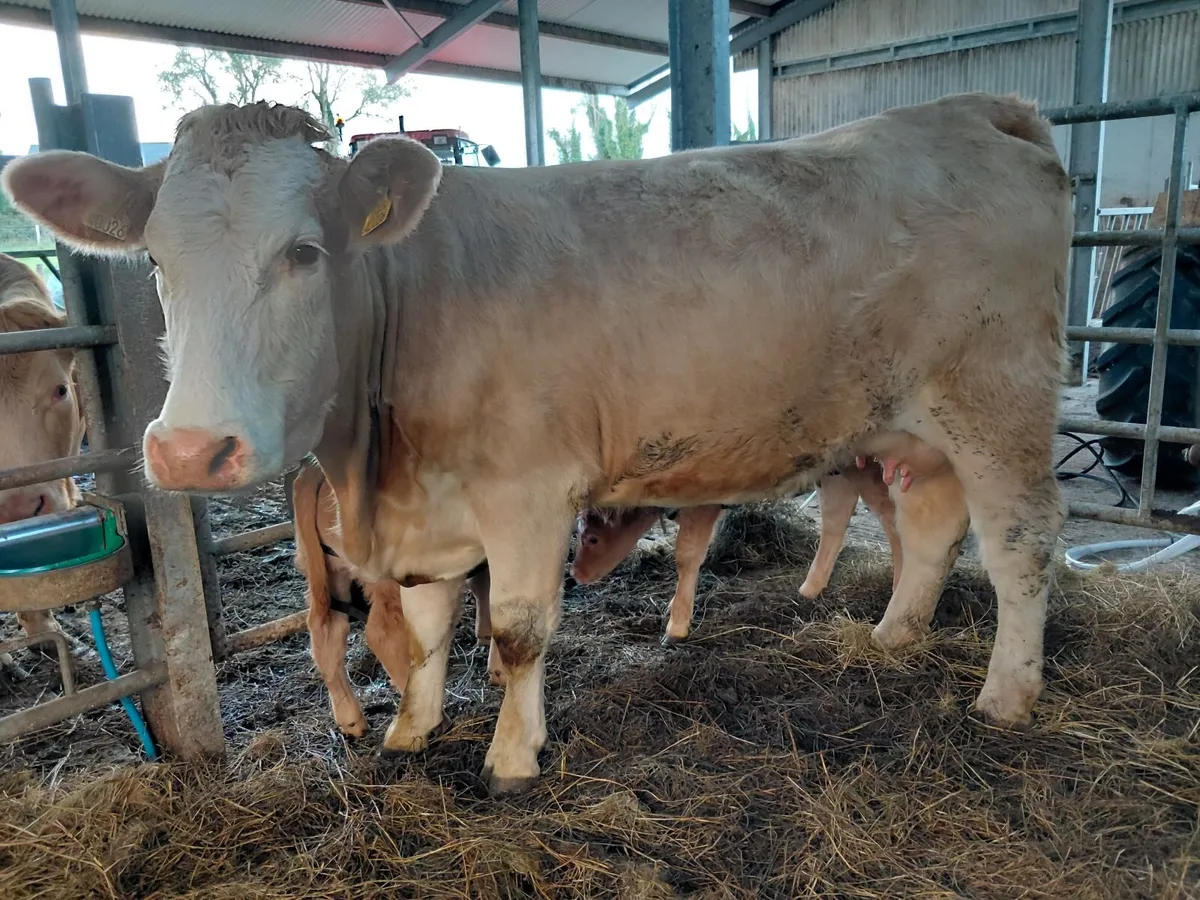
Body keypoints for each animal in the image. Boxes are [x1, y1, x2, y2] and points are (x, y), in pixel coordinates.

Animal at [291, 458, 498, 735]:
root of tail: (313, 468)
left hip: (329, 572)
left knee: (326, 630)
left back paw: (351, 720)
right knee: (384, 633)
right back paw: (431, 719)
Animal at [571, 460, 905, 644]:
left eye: (593, 539)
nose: (575, 574)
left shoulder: (702, 504)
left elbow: (687, 556)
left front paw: (677, 627)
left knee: (895, 520)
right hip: (837, 471)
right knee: (837, 517)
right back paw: (809, 589)